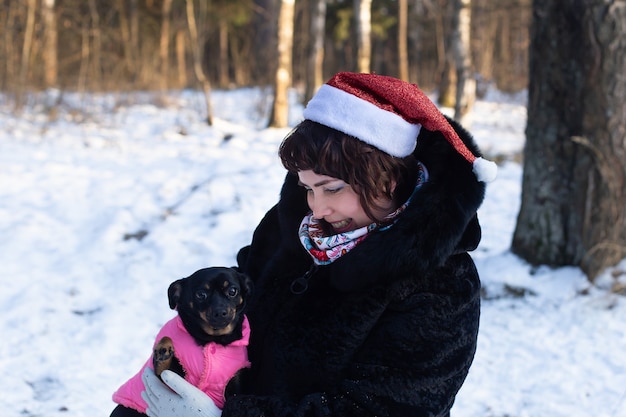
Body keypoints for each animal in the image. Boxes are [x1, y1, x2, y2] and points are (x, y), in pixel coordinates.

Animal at [111, 266, 252, 416]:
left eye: (232, 291)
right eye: (201, 294)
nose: (220, 312)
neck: (214, 338)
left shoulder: (234, 385)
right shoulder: (166, 381)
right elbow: (163, 361)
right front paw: (163, 349)